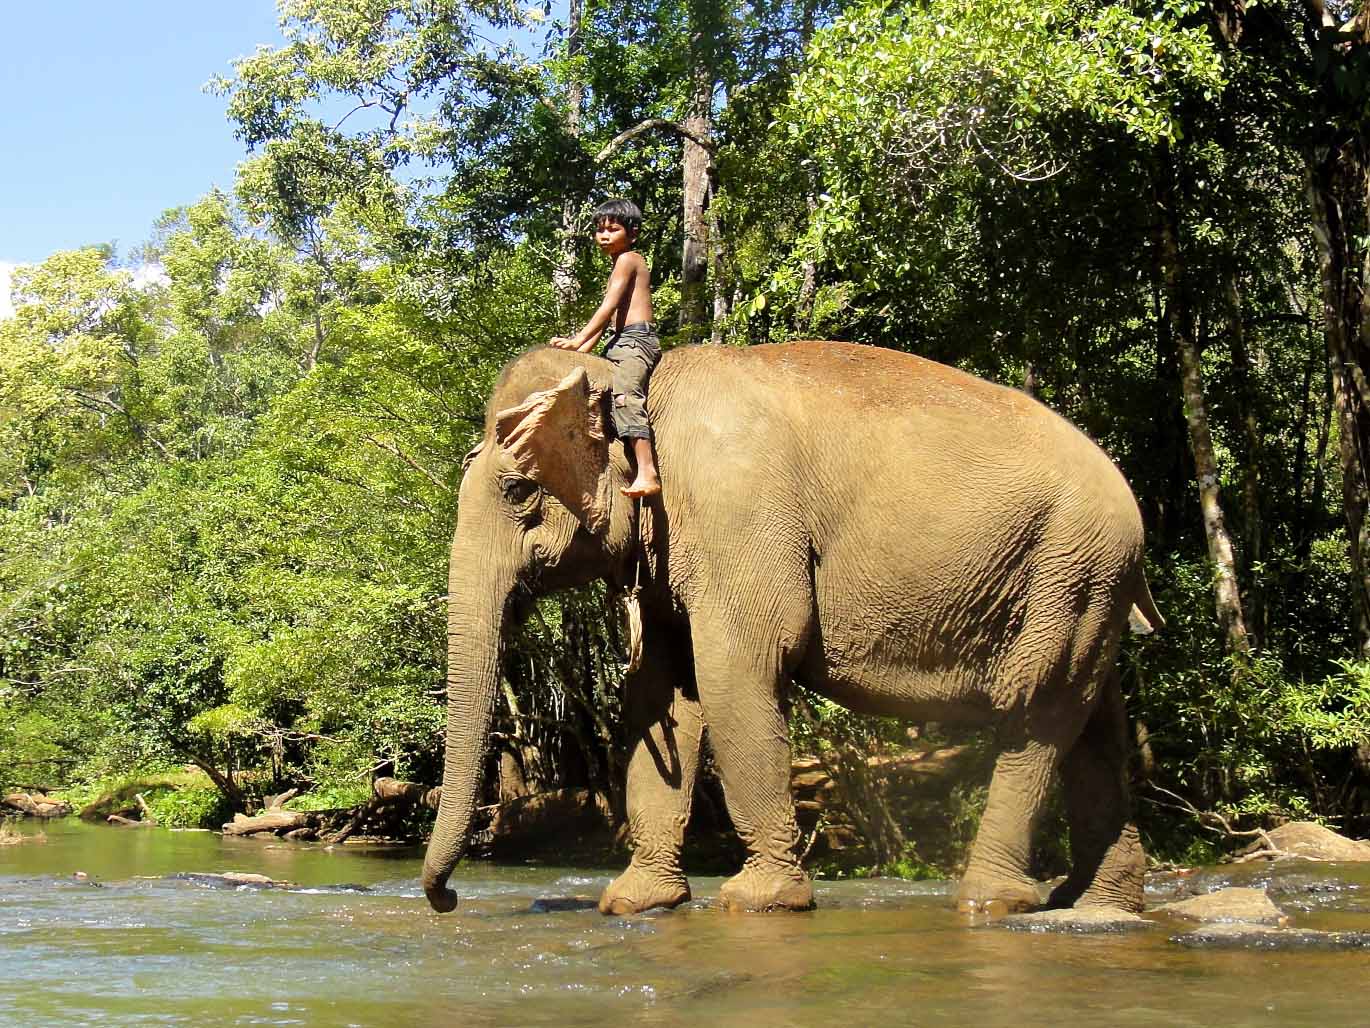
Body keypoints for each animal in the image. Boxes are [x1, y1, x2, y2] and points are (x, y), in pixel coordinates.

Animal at [421, 342, 1161, 921]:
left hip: (1069, 565)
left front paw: (760, 902)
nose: (448, 898)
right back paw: (1099, 904)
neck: (635, 388)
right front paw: (634, 903)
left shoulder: (737, 515)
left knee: (1035, 711)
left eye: (518, 492)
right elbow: (662, 693)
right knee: (1094, 717)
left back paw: (991, 902)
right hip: (1083, 584)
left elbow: (735, 671)